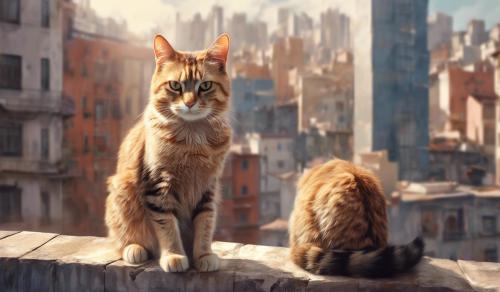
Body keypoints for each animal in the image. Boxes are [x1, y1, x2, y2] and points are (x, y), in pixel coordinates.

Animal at [106, 33, 231, 272]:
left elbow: (205, 224)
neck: (192, 141)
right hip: (121, 193)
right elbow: (168, 227)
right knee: (121, 239)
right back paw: (134, 249)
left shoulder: (207, 188)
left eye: (205, 86)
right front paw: (173, 255)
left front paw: (203, 255)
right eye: (175, 85)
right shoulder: (158, 186)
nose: (190, 103)